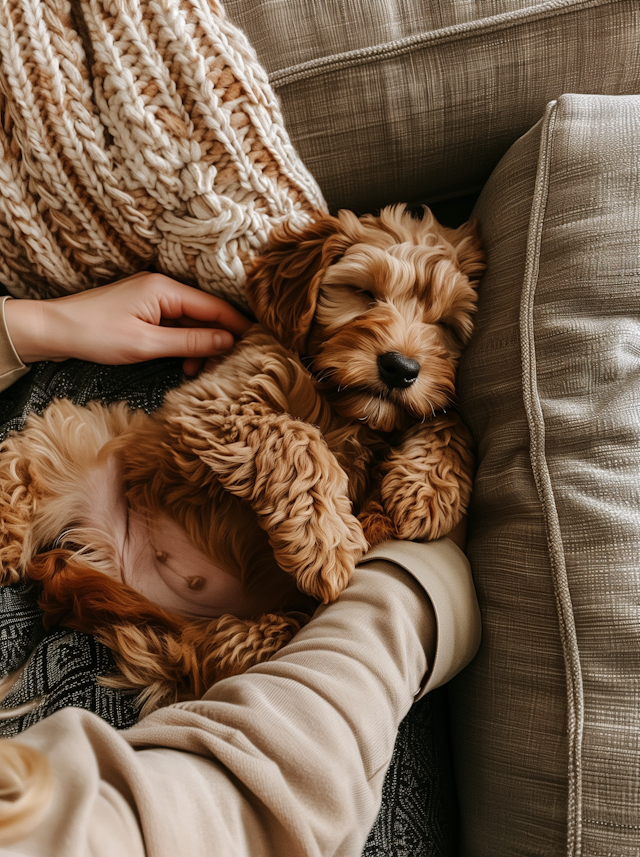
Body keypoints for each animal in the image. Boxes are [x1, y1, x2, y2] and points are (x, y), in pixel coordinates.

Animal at [0, 204, 482, 712]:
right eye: (365, 293)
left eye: (446, 325)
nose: (400, 368)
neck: (343, 410)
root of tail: (133, 577)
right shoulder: (216, 403)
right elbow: (295, 434)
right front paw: (327, 539)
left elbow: (450, 418)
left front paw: (426, 490)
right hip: (79, 442)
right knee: (25, 467)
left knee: (219, 655)